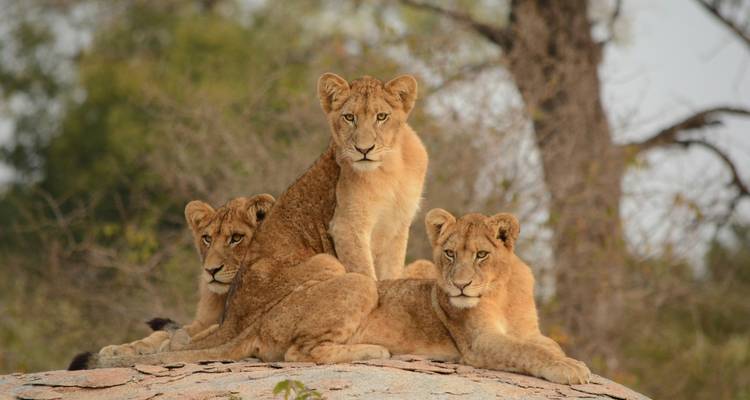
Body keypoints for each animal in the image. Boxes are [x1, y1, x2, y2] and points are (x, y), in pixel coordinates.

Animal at [96, 195, 275, 358]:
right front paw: (121, 348)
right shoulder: (203, 321)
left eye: (236, 238)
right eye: (207, 239)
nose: (211, 270)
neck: (225, 296)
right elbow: (167, 333)